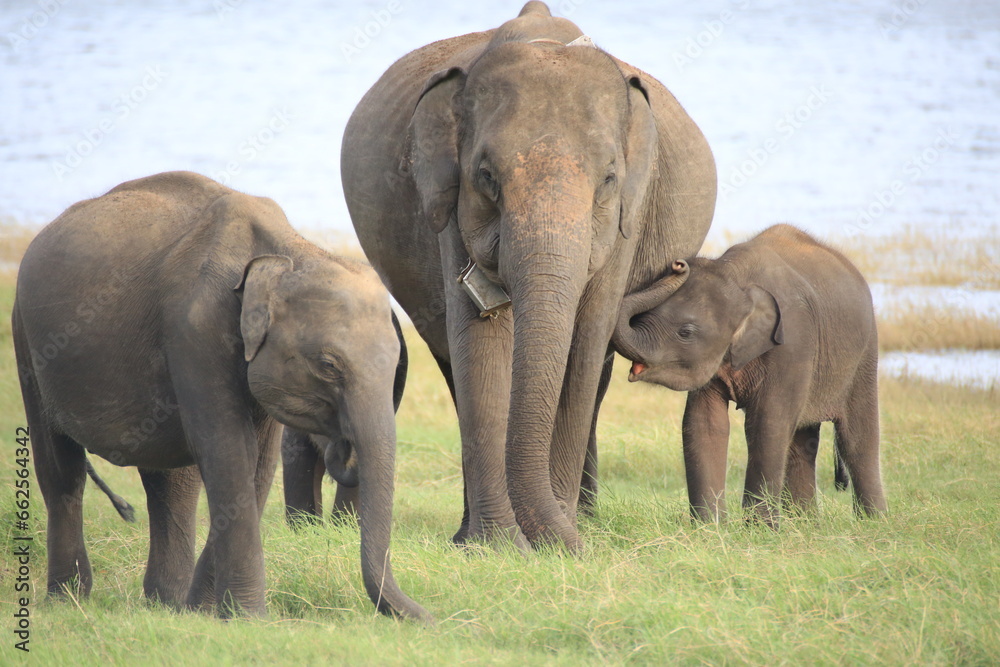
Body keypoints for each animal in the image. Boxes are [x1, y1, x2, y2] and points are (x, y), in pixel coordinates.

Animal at [341, 1, 717, 551]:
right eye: (486, 177)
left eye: (608, 179)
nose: (680, 264)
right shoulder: (449, 208)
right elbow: (480, 341)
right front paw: (498, 544)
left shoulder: (628, 216)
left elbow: (584, 344)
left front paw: (555, 535)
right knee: (452, 365)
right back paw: (472, 533)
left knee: (596, 375)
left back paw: (580, 516)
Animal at [612, 224, 888, 526]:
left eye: (686, 332)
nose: (678, 264)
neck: (735, 275)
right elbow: (704, 422)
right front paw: (710, 527)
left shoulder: (794, 341)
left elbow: (768, 422)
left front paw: (761, 528)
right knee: (803, 440)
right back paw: (804, 523)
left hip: (865, 353)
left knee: (856, 438)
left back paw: (874, 522)